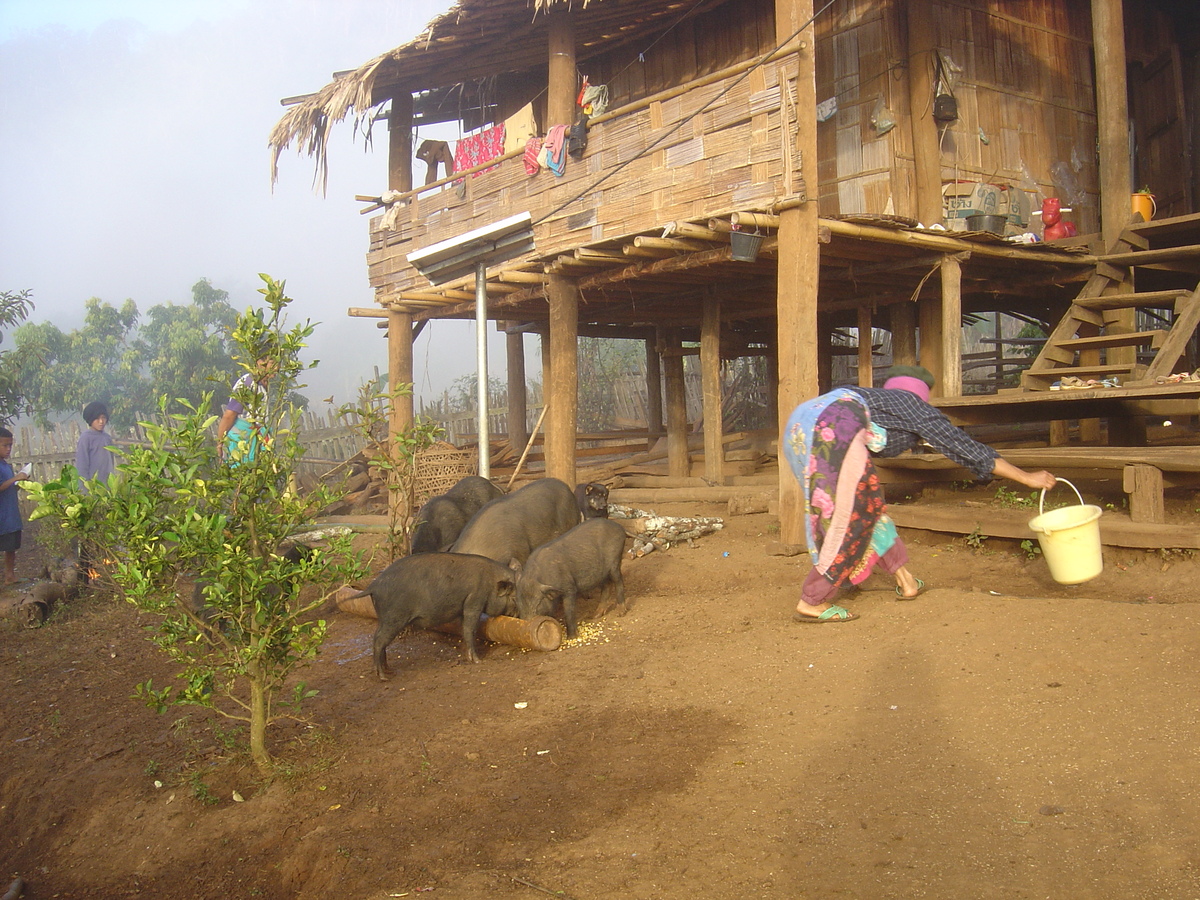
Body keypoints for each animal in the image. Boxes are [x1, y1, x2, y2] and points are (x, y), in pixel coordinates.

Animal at [343, 549, 520, 681]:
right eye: (513, 597)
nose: (518, 615)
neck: (490, 581)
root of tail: (374, 586)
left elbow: (464, 630)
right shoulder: (474, 600)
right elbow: (470, 629)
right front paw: (478, 661)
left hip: (382, 617)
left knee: (378, 639)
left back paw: (388, 670)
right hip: (393, 618)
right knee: (379, 640)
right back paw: (384, 677)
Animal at [516, 513, 628, 643]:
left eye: (538, 603)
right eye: (519, 603)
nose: (527, 623)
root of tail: (619, 526)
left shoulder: (569, 588)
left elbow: (568, 611)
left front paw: (571, 637)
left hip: (615, 561)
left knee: (618, 581)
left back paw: (620, 613)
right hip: (603, 573)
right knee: (607, 586)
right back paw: (595, 616)